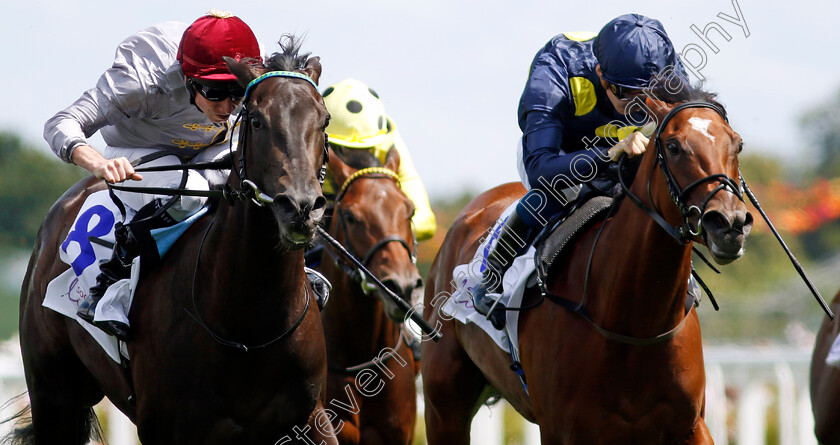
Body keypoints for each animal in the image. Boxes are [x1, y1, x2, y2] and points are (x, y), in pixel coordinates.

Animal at [6, 43, 340, 442]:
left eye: (324, 120)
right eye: (258, 121)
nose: (301, 207)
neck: (248, 328)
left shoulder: (310, 416)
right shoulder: (167, 426)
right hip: (54, 395)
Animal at [420, 93, 756, 440]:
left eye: (737, 144)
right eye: (674, 146)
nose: (730, 223)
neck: (632, 324)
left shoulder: (690, 426)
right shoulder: (561, 430)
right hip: (443, 406)